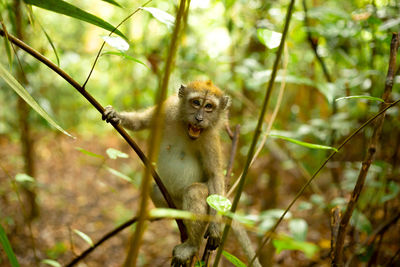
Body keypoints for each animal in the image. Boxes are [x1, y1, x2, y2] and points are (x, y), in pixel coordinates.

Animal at [101, 80, 260, 266]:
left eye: (209, 107)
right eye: (196, 102)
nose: (199, 118)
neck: (186, 128)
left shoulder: (210, 138)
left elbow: (214, 176)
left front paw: (215, 228)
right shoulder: (168, 108)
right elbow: (141, 122)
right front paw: (116, 115)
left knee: (195, 191)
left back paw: (192, 245)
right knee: (153, 186)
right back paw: (160, 215)